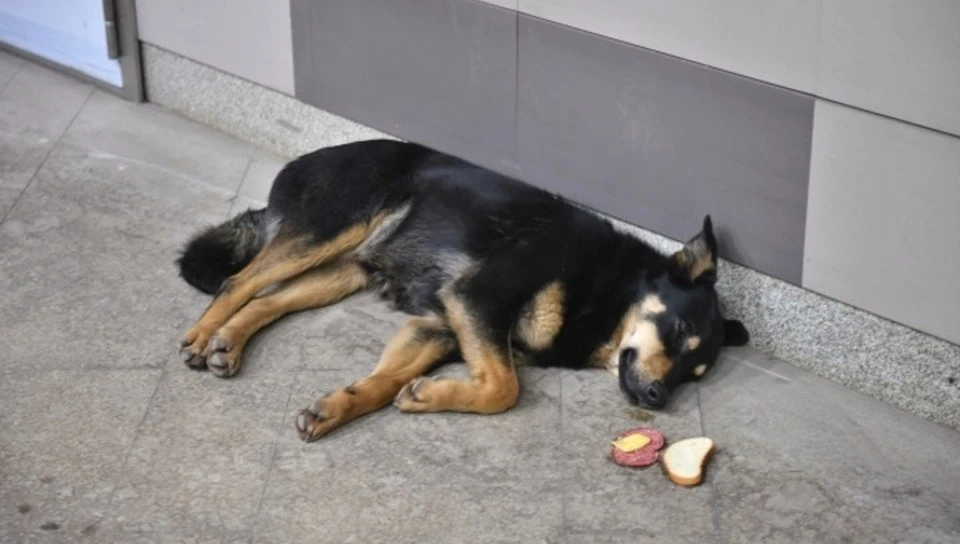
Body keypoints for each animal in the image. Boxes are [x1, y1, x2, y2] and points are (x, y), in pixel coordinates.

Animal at [178, 138, 752, 440]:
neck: (607, 290)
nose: (658, 398)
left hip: (343, 270)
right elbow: (504, 389)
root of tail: (308, 157)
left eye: (693, 375)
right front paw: (434, 394)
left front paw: (344, 406)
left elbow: (385, 382)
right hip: (330, 228)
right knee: (239, 279)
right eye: (677, 328)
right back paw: (203, 335)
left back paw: (228, 343)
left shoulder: (439, 327)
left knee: (270, 297)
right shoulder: (476, 300)